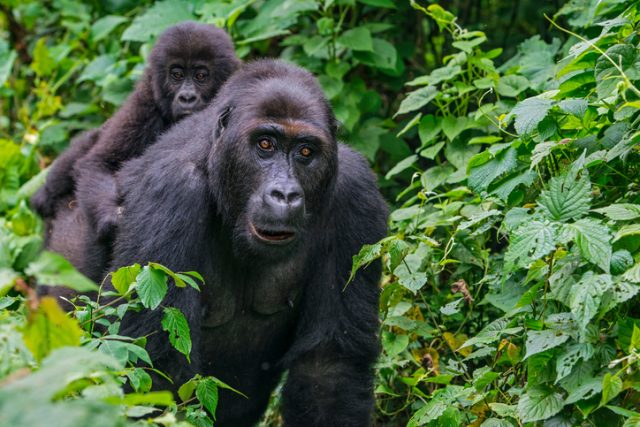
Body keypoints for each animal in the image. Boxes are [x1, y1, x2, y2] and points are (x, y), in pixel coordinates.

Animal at [31, 23, 240, 284]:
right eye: (177, 75)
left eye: (201, 76)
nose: (187, 97)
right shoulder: (144, 103)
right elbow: (100, 163)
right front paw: (113, 218)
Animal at [110, 61, 388, 427]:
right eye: (265, 144)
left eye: (306, 152)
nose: (284, 194)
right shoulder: (171, 189)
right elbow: (156, 369)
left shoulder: (356, 196)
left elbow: (329, 367)